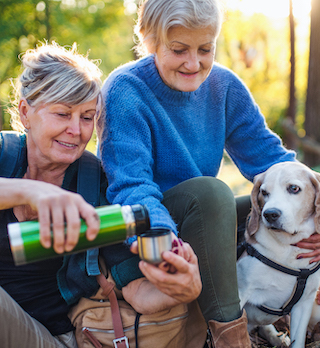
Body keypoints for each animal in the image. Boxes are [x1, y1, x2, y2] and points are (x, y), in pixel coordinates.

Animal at [238, 162, 320, 346]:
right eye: (264, 192)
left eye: (294, 188)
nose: (270, 214)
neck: (288, 248)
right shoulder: (239, 293)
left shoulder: (305, 303)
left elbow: (298, 341)